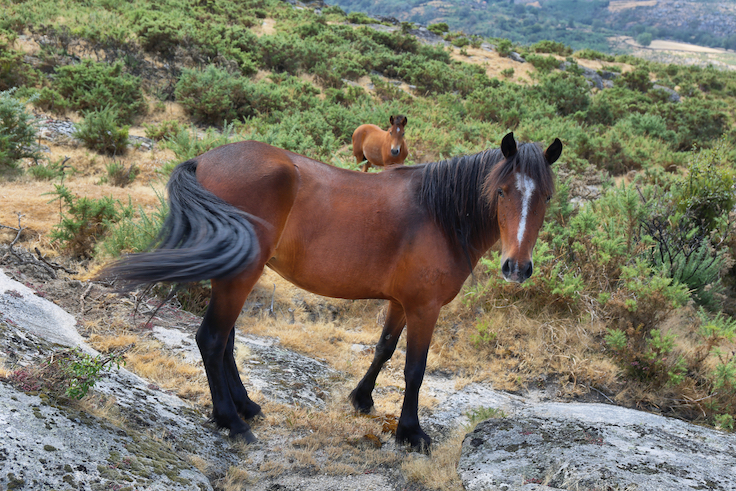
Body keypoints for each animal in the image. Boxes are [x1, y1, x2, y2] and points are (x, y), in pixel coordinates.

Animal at [99, 132, 562, 451]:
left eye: (546, 197)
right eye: (501, 191)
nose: (517, 268)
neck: (439, 215)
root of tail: (205, 159)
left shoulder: (401, 302)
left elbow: (384, 349)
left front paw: (362, 399)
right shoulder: (424, 307)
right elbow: (415, 369)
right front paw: (411, 432)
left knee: (225, 341)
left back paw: (247, 406)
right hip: (240, 274)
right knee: (212, 339)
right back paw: (233, 421)